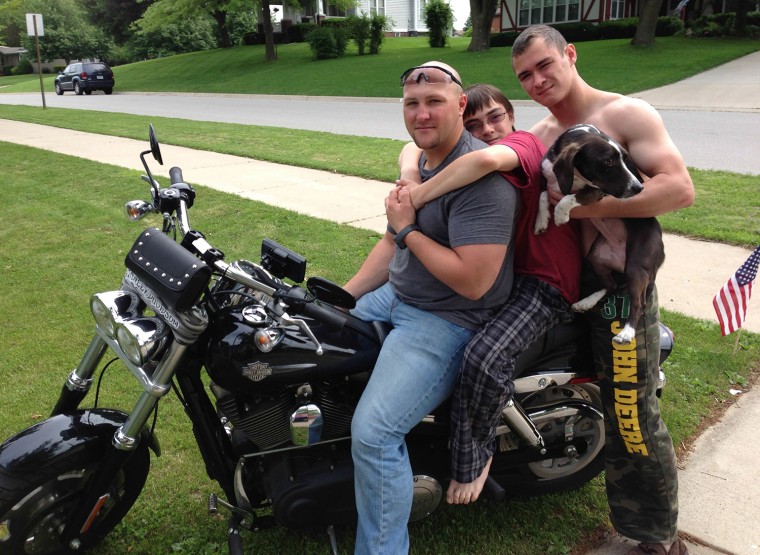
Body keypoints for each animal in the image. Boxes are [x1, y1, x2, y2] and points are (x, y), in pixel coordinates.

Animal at [536, 124, 664, 346]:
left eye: (625, 159)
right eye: (609, 161)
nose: (639, 188)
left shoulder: (597, 192)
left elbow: (571, 197)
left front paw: (560, 214)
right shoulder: (547, 178)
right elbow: (543, 196)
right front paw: (542, 220)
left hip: (637, 265)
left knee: (638, 302)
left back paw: (627, 332)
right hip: (596, 257)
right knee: (611, 284)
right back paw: (586, 302)